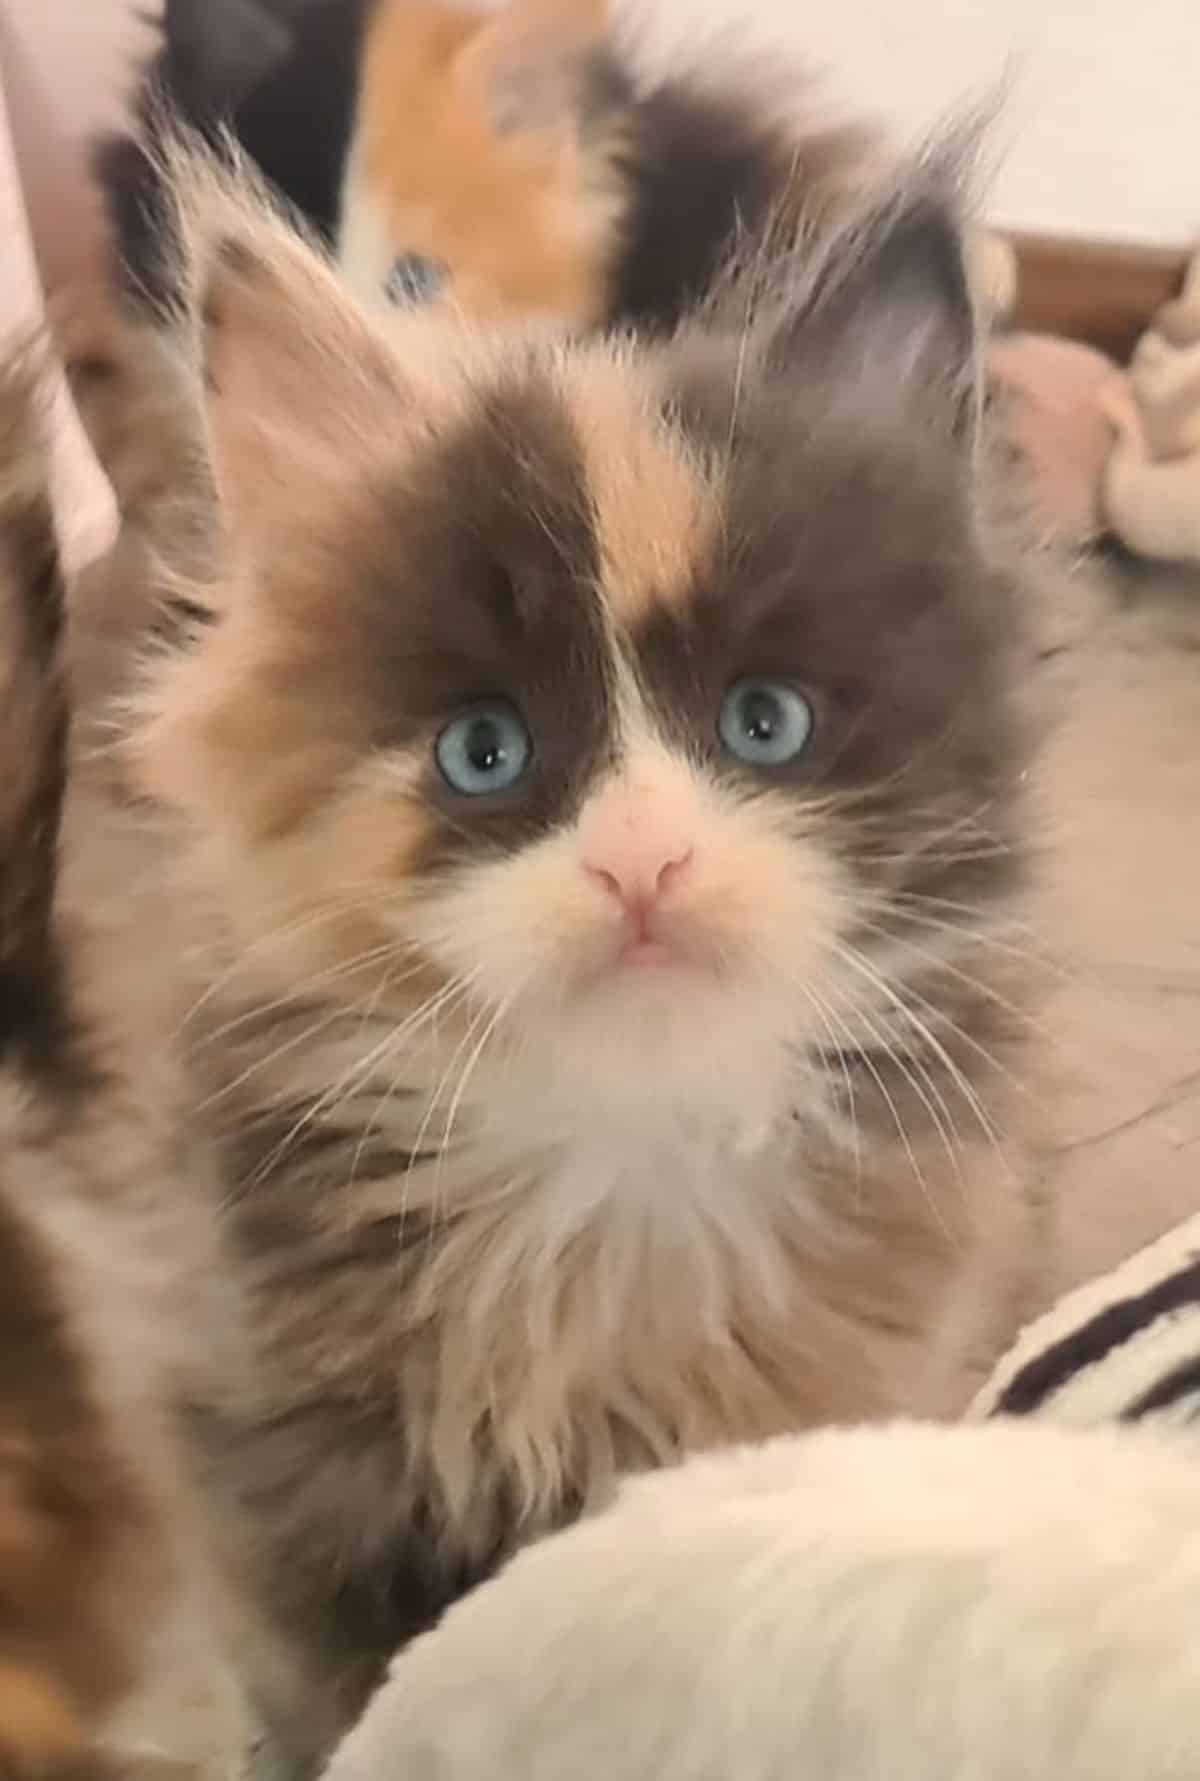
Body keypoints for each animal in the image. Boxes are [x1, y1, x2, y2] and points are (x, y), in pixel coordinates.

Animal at [79, 142, 1039, 1781]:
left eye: (766, 723)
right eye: (485, 750)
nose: (640, 862)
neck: (616, 1173)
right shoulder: (282, 1464)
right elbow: (336, 1703)